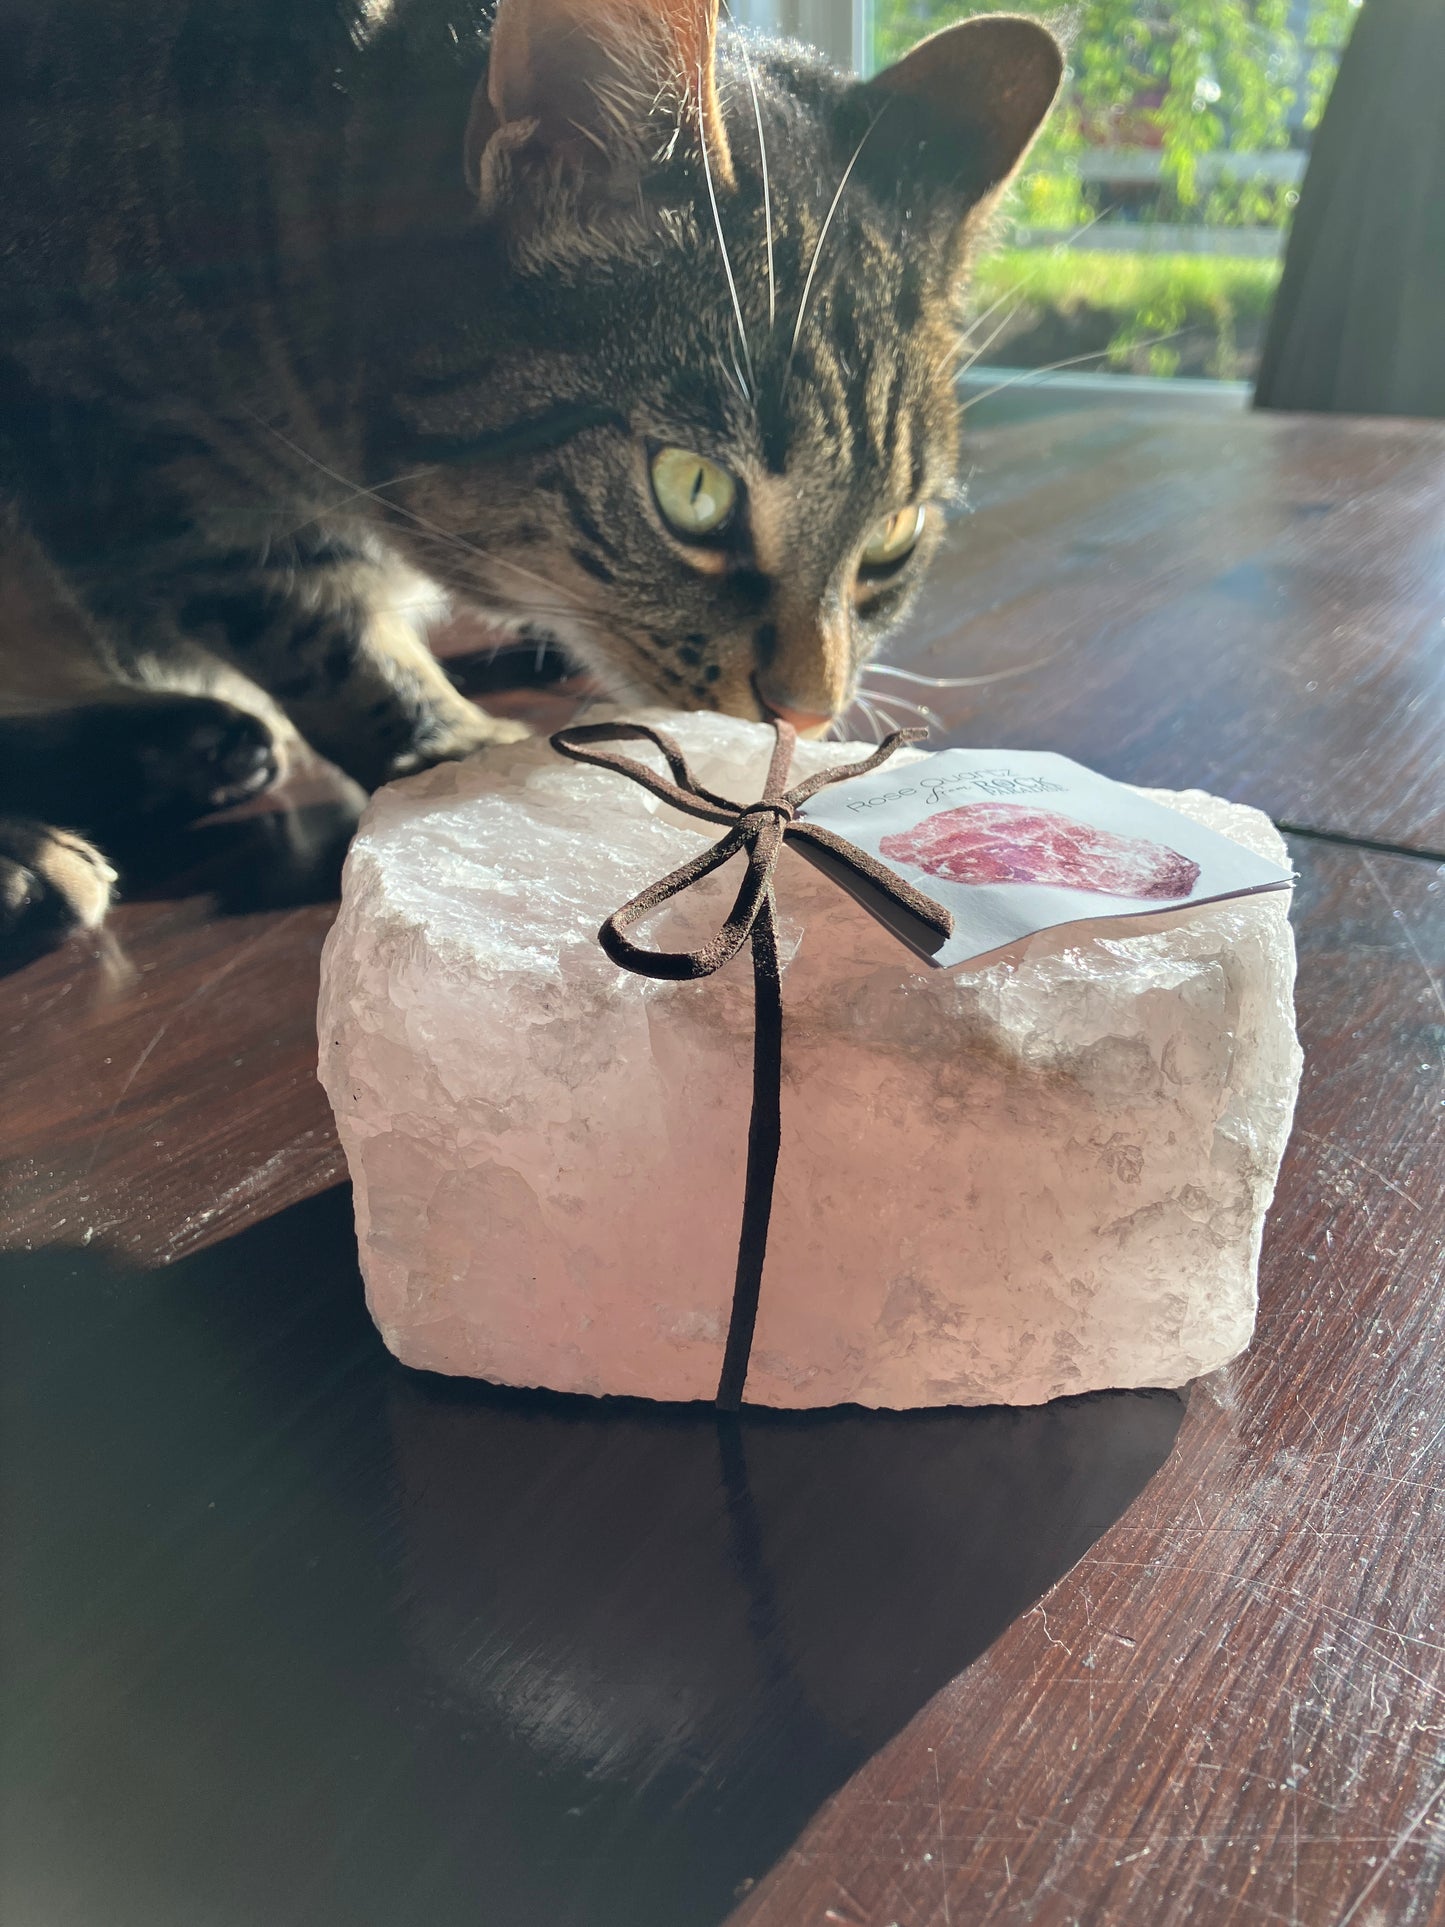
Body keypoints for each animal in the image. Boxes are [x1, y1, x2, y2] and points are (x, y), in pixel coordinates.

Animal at [0, 0, 1063, 948]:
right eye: (693, 492)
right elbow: (321, 628)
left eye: (892, 536)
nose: (809, 708)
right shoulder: (135, 452)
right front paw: (463, 756)